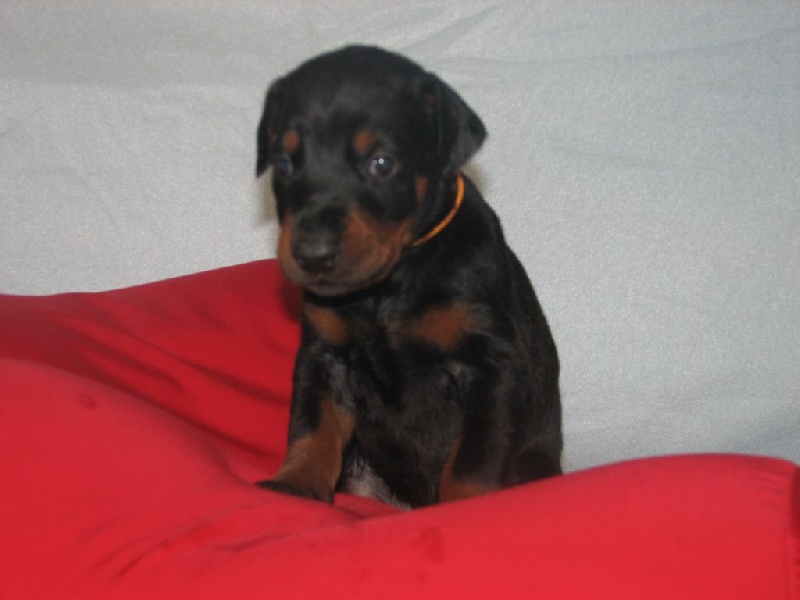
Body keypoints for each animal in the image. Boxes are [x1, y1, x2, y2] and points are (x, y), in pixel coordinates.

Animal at [255, 45, 562, 508]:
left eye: (381, 163)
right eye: (283, 162)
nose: (312, 255)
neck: (387, 288)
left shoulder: (491, 364)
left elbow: (474, 454)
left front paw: (466, 505)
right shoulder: (324, 355)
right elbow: (313, 425)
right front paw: (296, 484)